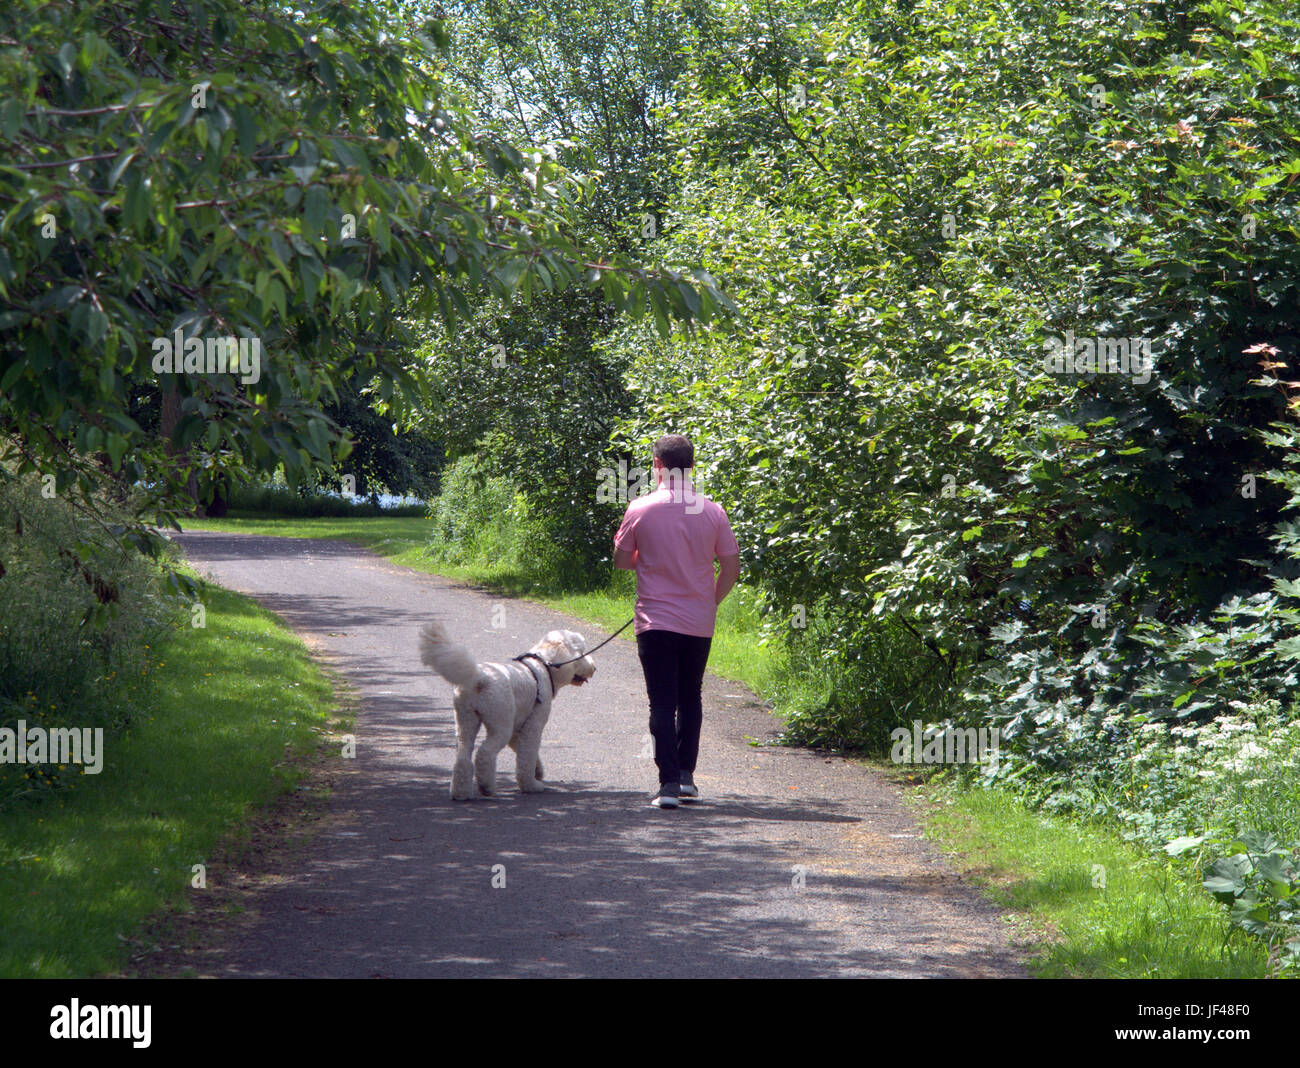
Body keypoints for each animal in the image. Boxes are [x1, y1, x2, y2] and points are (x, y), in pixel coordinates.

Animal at [418, 618, 595, 800]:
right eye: (581, 652)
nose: (593, 667)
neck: (543, 665)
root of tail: (479, 677)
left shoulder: (518, 729)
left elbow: (524, 753)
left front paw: (538, 771)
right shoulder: (533, 726)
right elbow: (527, 755)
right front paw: (531, 785)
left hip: (465, 721)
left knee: (463, 756)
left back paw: (460, 792)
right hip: (500, 724)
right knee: (485, 753)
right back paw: (486, 787)